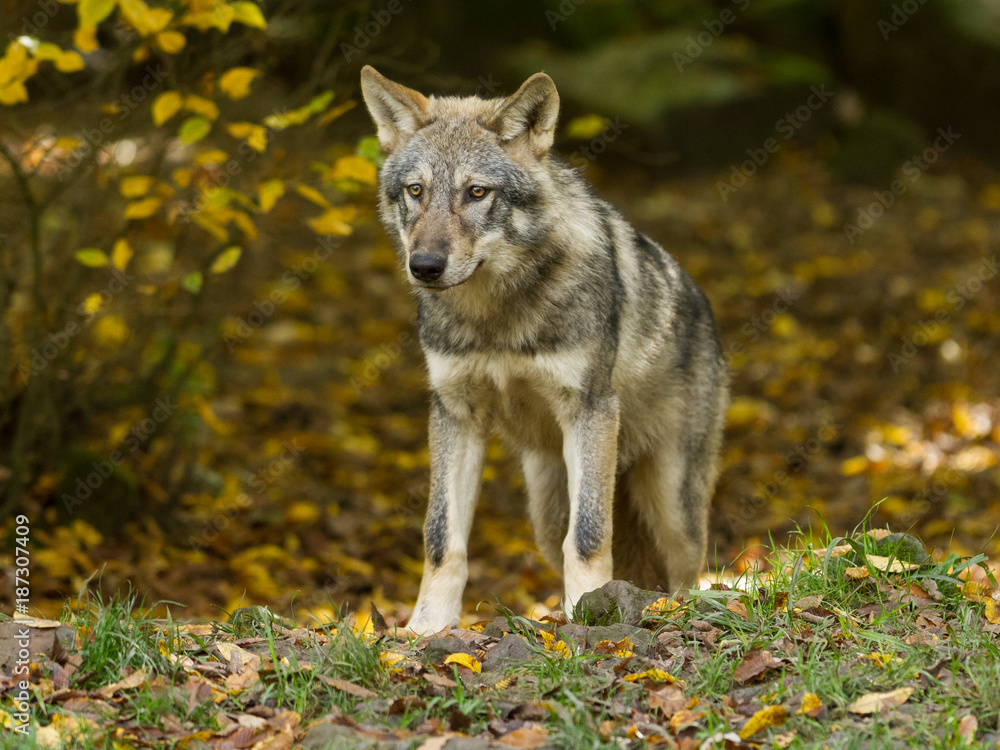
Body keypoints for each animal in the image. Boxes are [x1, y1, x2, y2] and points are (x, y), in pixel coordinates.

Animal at [360, 67, 728, 636]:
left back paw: (669, 613)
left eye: (476, 192)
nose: (424, 266)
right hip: (545, 511)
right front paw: (426, 628)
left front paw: (588, 618)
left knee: (689, 571)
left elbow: (590, 536)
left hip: (673, 506)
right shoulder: (454, 413)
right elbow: (442, 539)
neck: (496, 319)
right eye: (415, 191)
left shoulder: (590, 410)